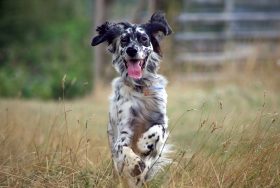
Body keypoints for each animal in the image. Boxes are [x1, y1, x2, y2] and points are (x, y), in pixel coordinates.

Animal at [91, 12, 173, 188]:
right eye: (124, 40)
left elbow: (158, 131)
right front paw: (135, 163)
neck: (140, 87)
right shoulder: (124, 130)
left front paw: (144, 144)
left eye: (143, 38)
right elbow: (123, 148)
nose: (131, 50)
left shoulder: (161, 120)